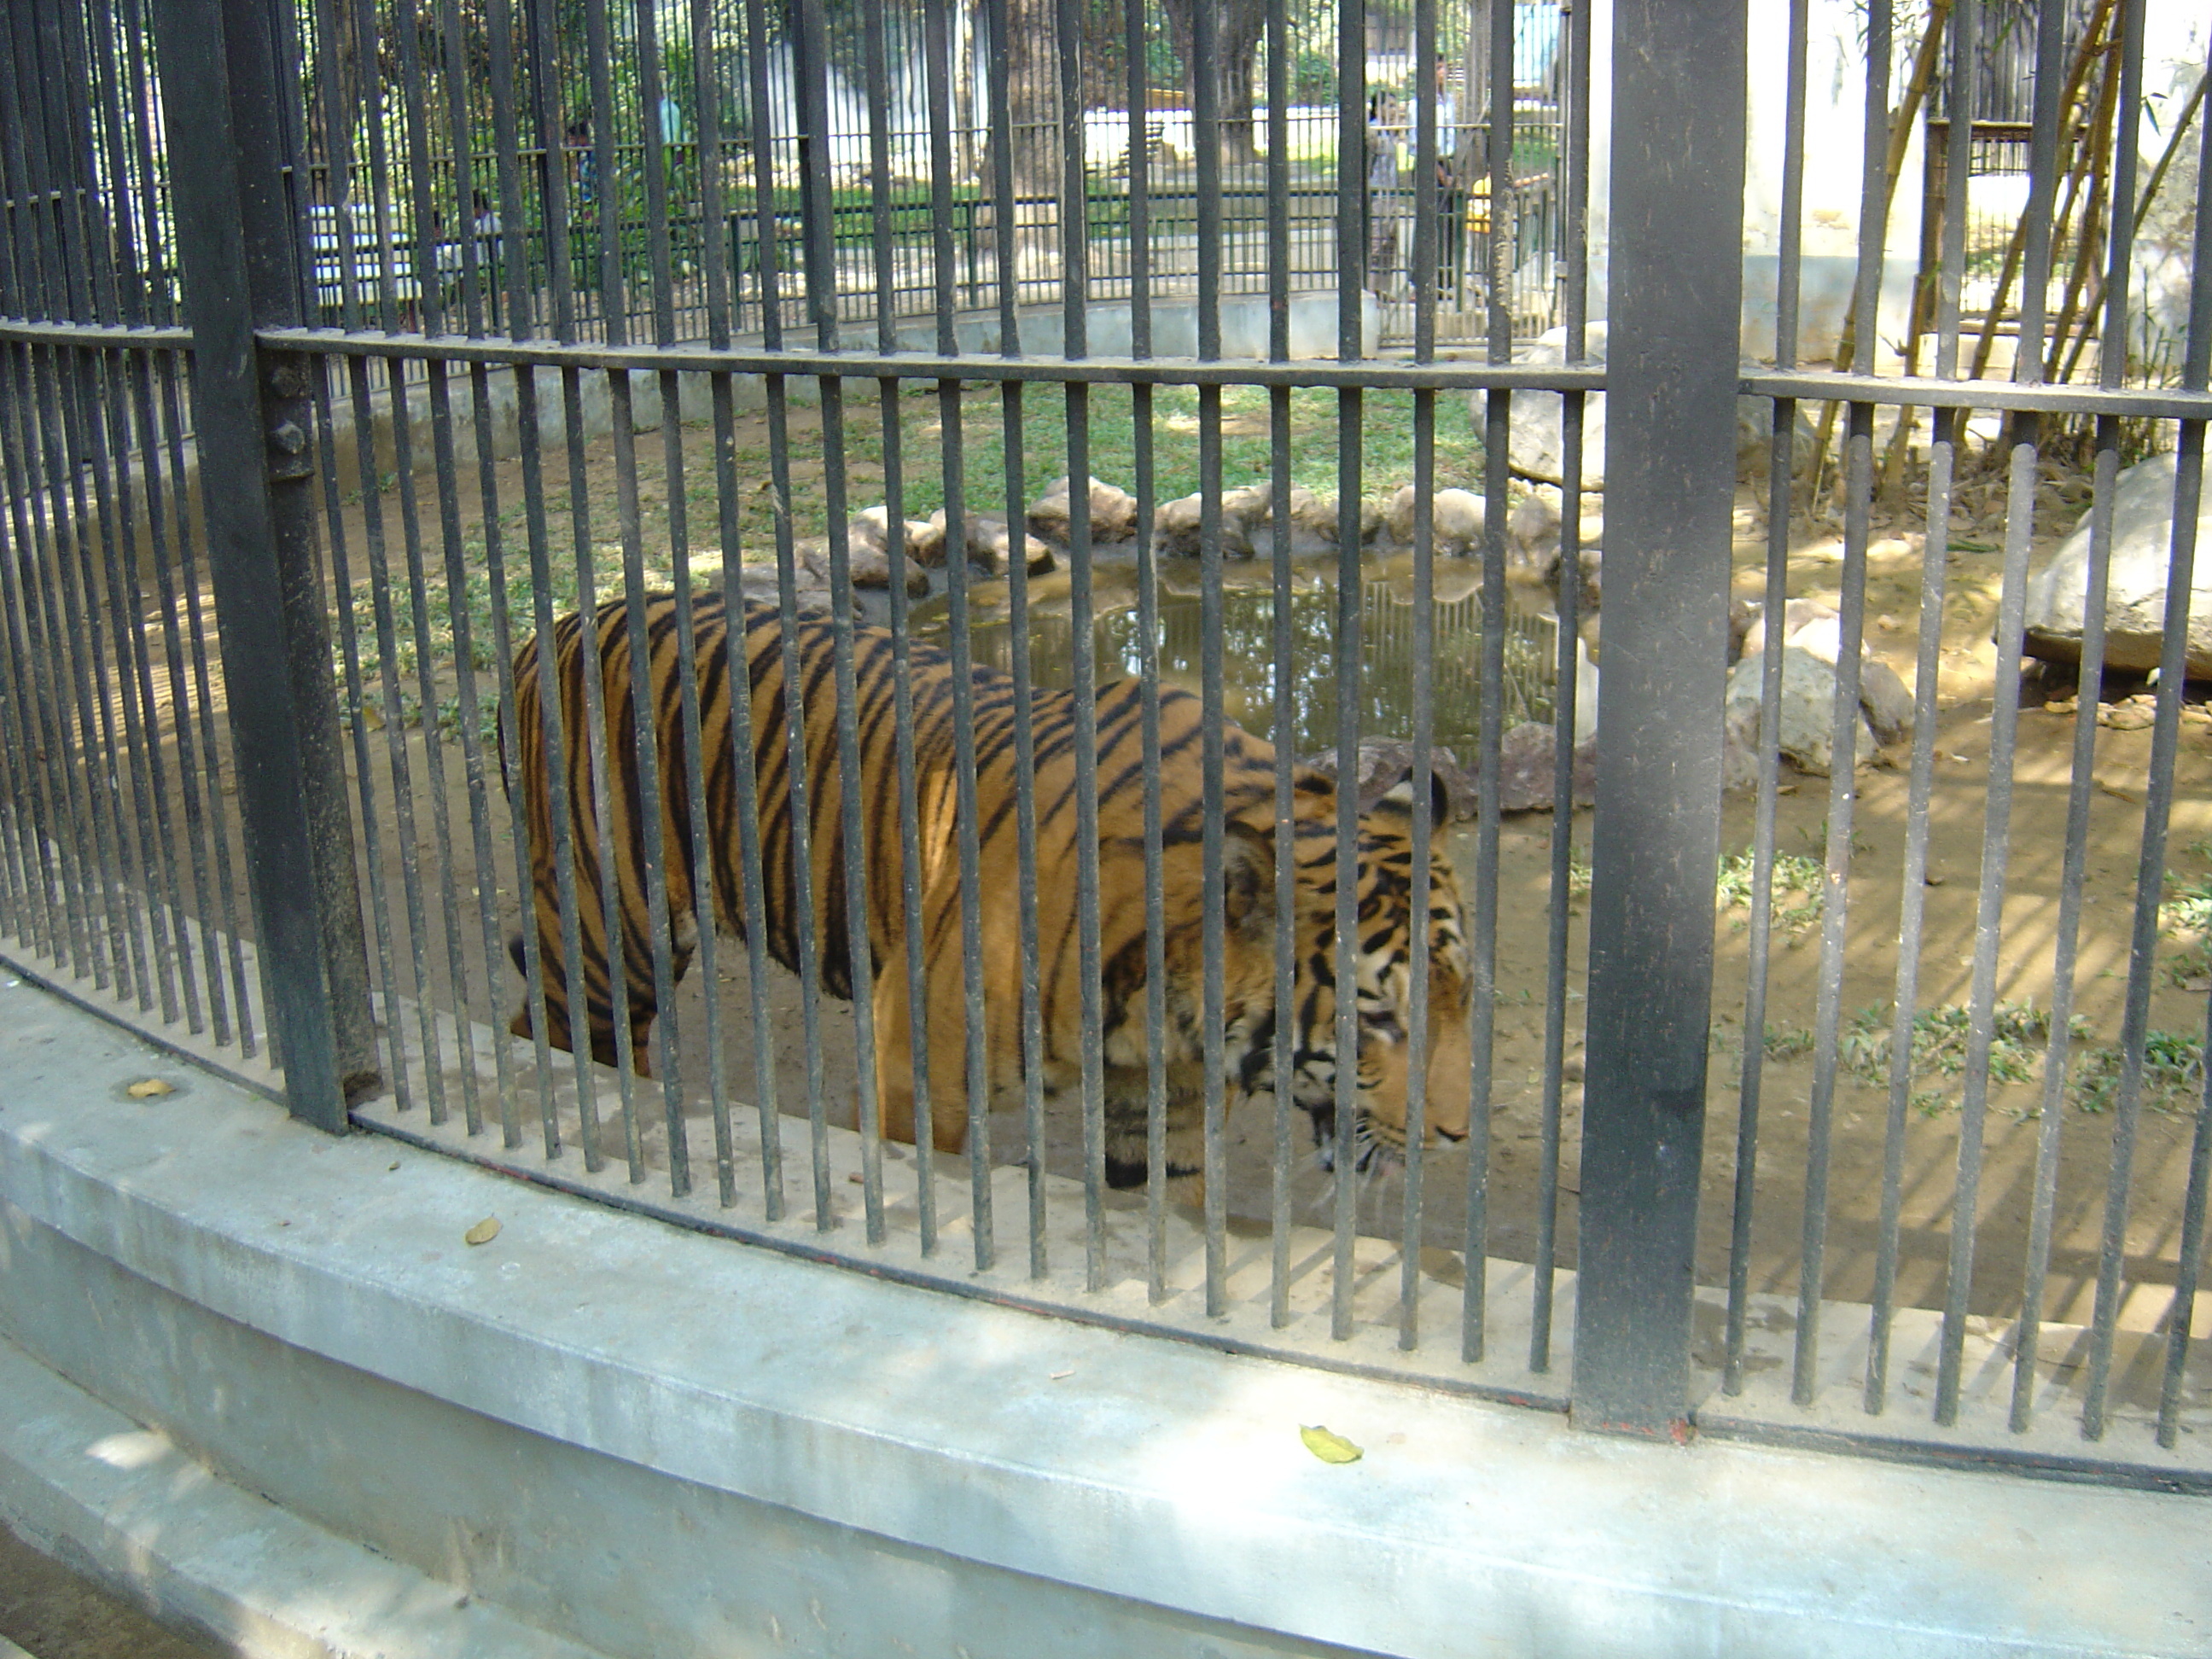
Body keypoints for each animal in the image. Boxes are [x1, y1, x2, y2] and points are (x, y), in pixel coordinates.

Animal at [502, 597, 1469, 1194]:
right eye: (1377, 1019)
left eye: (1463, 1002)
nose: (1456, 1140)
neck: (1168, 1002)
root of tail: (560, 624)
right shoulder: (912, 1069)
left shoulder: (1170, 1113)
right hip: (613, 931)